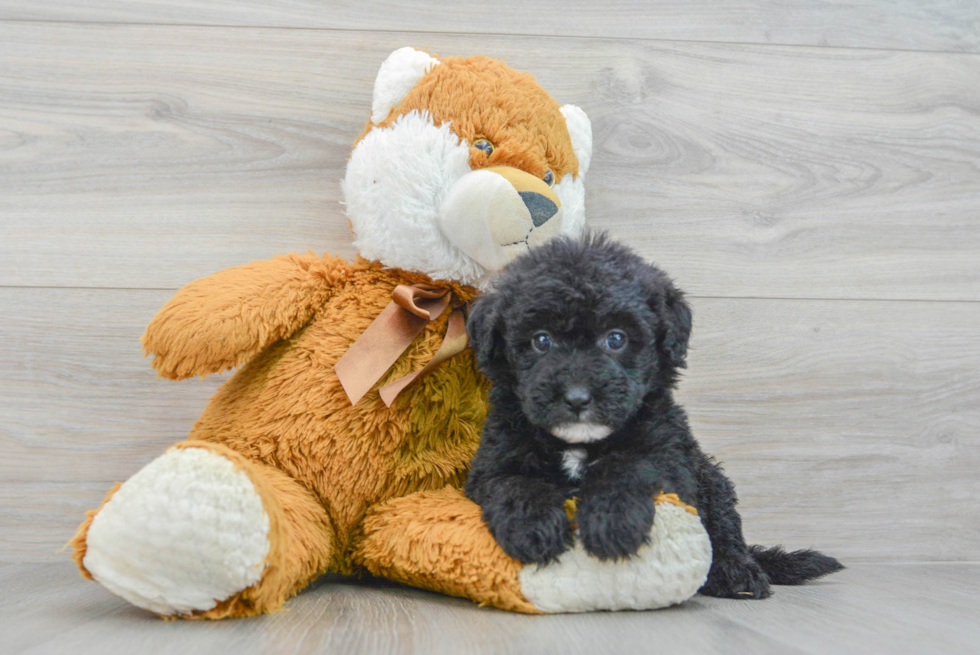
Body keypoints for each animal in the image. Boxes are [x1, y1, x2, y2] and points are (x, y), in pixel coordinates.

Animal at [464, 234, 840, 600]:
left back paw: (737, 573)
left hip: (710, 479)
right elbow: (514, 484)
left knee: (725, 530)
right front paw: (535, 528)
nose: (577, 397)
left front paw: (613, 522)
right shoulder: (493, 460)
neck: (579, 444)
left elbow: (629, 467)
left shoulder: (668, 454)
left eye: (616, 338)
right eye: (541, 340)